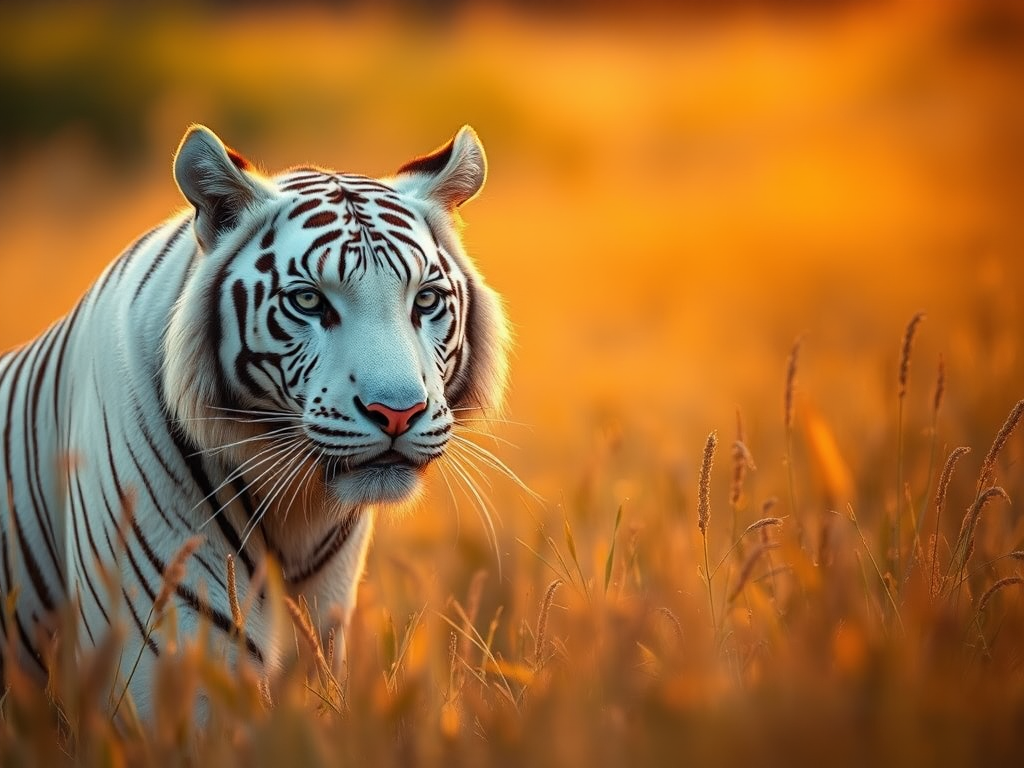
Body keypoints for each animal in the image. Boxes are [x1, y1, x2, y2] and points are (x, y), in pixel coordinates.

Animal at [0, 124, 509, 719]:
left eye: (425, 299)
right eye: (309, 301)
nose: (397, 413)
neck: (298, 510)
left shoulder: (324, 626)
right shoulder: (165, 657)